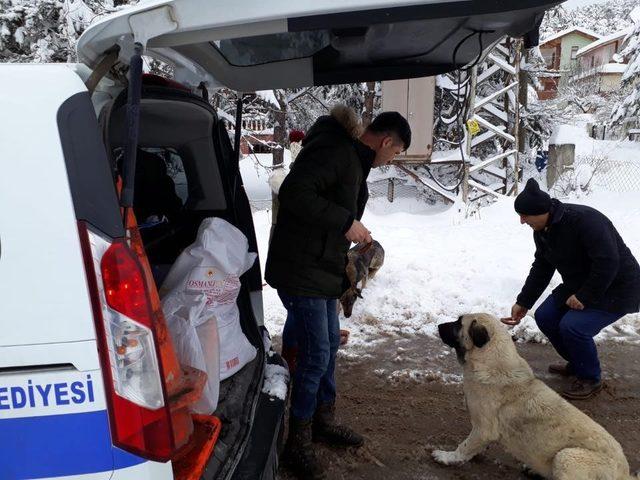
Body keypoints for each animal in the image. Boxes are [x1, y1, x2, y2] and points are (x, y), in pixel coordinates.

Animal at [432, 314, 636, 478]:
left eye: (458, 324)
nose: (438, 326)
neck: (493, 363)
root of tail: (624, 474)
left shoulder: (484, 428)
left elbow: (465, 446)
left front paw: (447, 457)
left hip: (567, 457)